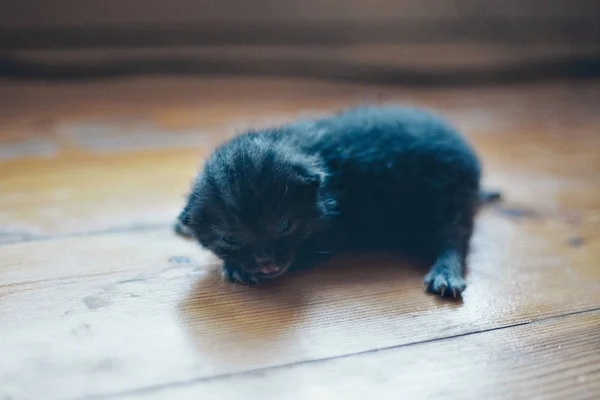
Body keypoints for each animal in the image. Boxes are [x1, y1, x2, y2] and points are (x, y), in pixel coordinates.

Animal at [177, 106, 488, 296]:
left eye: (285, 225)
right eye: (230, 238)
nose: (266, 262)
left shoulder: (332, 235)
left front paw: (236, 268)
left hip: (442, 199)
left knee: (454, 235)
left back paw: (445, 272)